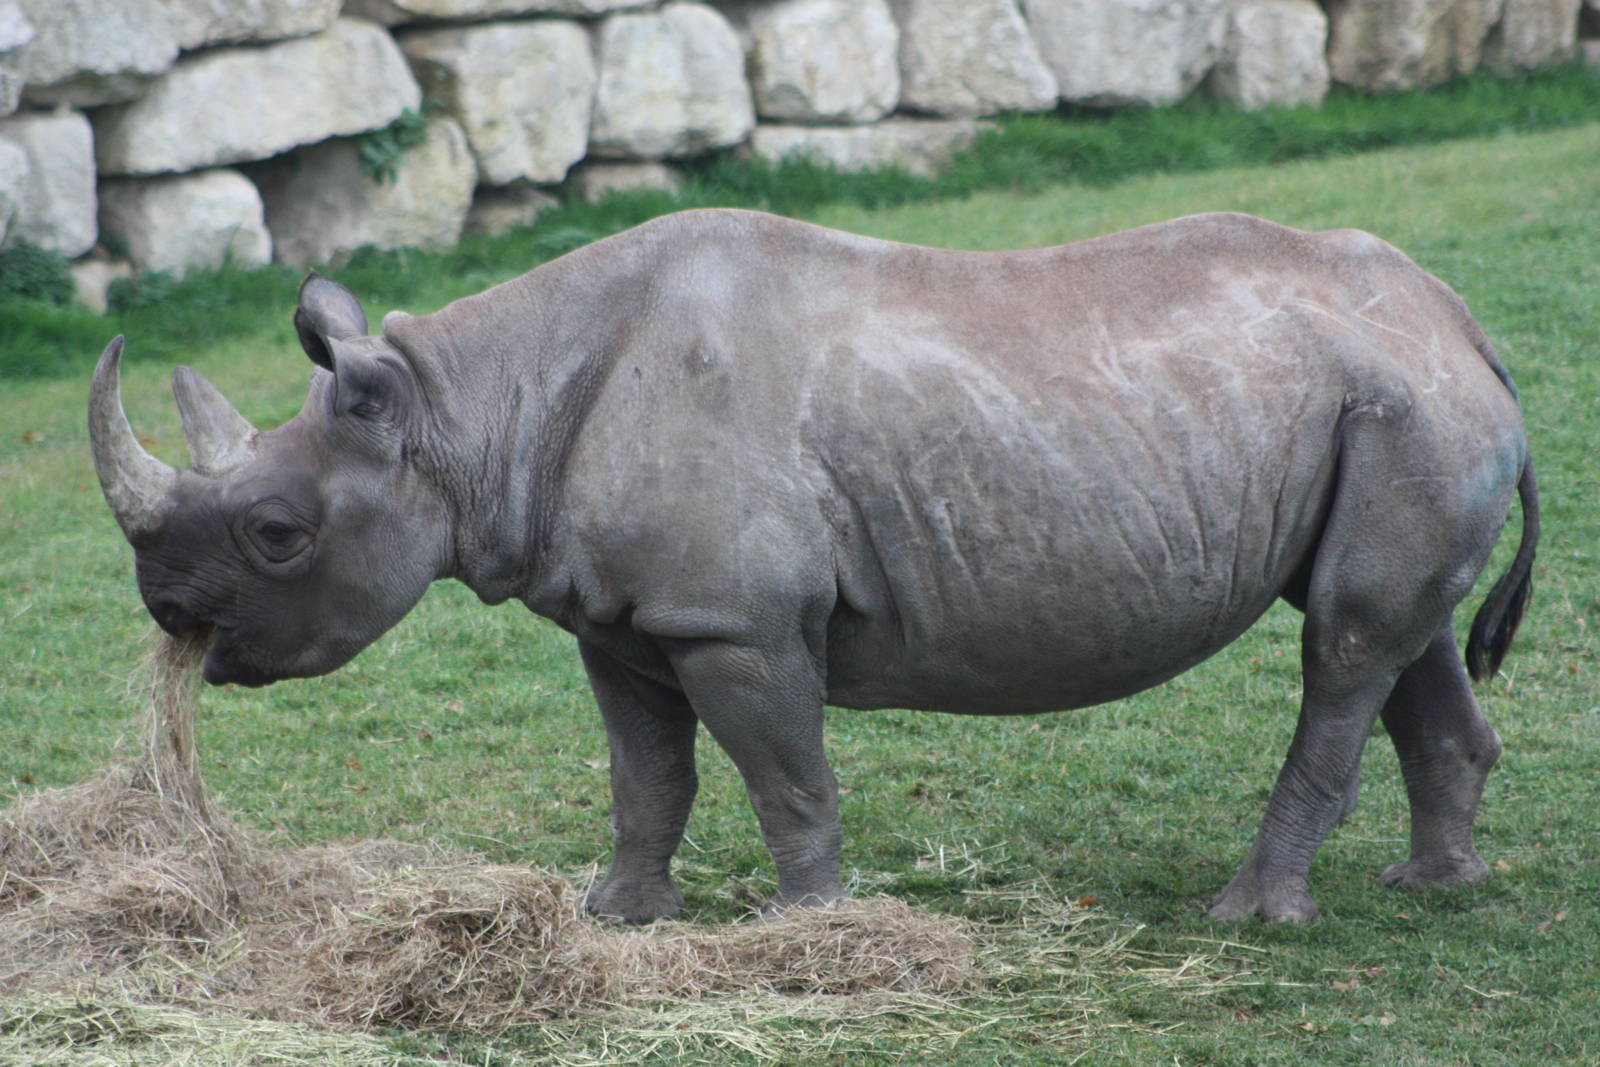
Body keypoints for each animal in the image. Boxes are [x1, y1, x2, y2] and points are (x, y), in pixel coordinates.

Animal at [89, 209, 1538, 923]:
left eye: (277, 534)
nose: (173, 615)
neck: (460, 412)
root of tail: (1463, 318)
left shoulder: (734, 618)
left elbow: (782, 773)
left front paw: (807, 925)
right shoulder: (620, 616)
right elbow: (646, 774)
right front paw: (617, 913)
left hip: (1401, 405)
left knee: (1343, 642)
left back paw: (1249, 918)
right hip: (1386, 404)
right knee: (1391, 629)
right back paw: (1436, 892)